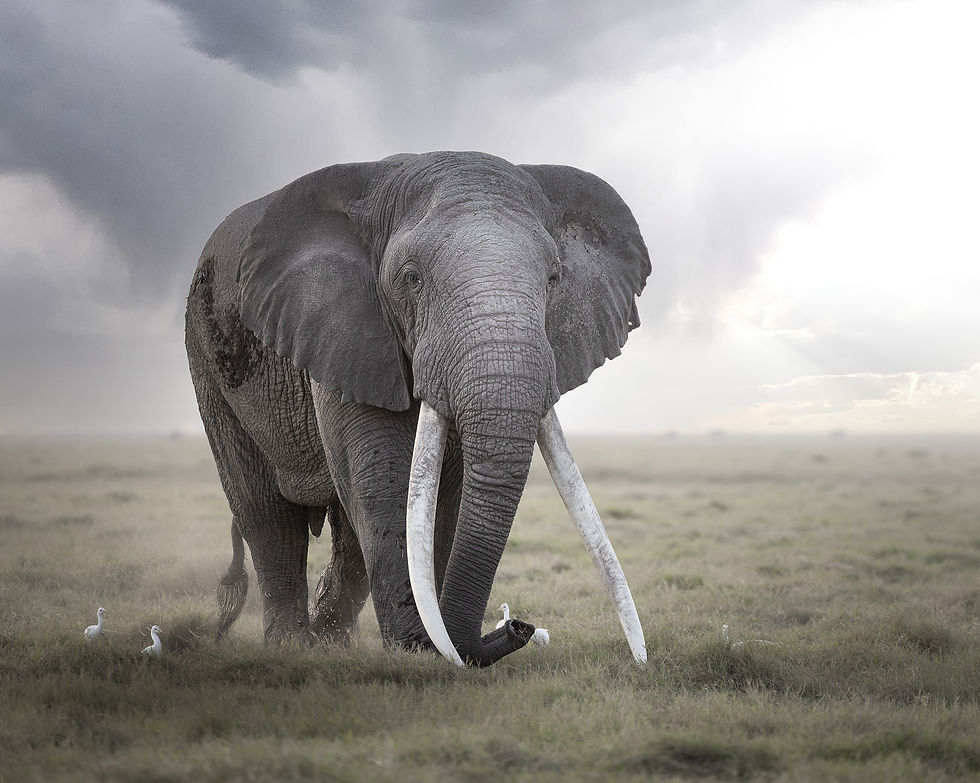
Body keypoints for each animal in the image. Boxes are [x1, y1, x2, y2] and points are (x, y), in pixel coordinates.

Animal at [184, 151, 650, 667]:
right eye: (411, 279)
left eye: (553, 279)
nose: (520, 626)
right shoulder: (345, 328)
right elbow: (382, 477)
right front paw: (418, 651)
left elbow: (447, 494)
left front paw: (431, 646)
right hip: (207, 359)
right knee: (267, 515)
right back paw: (292, 646)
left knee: (346, 538)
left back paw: (331, 642)